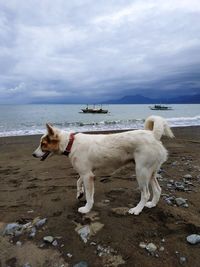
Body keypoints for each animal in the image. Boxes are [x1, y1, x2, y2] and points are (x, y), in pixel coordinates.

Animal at [32, 116, 173, 216]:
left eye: (43, 144)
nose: (33, 154)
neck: (70, 143)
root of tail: (153, 135)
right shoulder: (87, 172)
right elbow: (78, 181)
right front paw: (79, 193)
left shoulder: (87, 175)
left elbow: (89, 196)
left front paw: (86, 208)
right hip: (150, 172)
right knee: (158, 190)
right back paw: (152, 204)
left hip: (141, 171)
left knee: (146, 194)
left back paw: (137, 209)